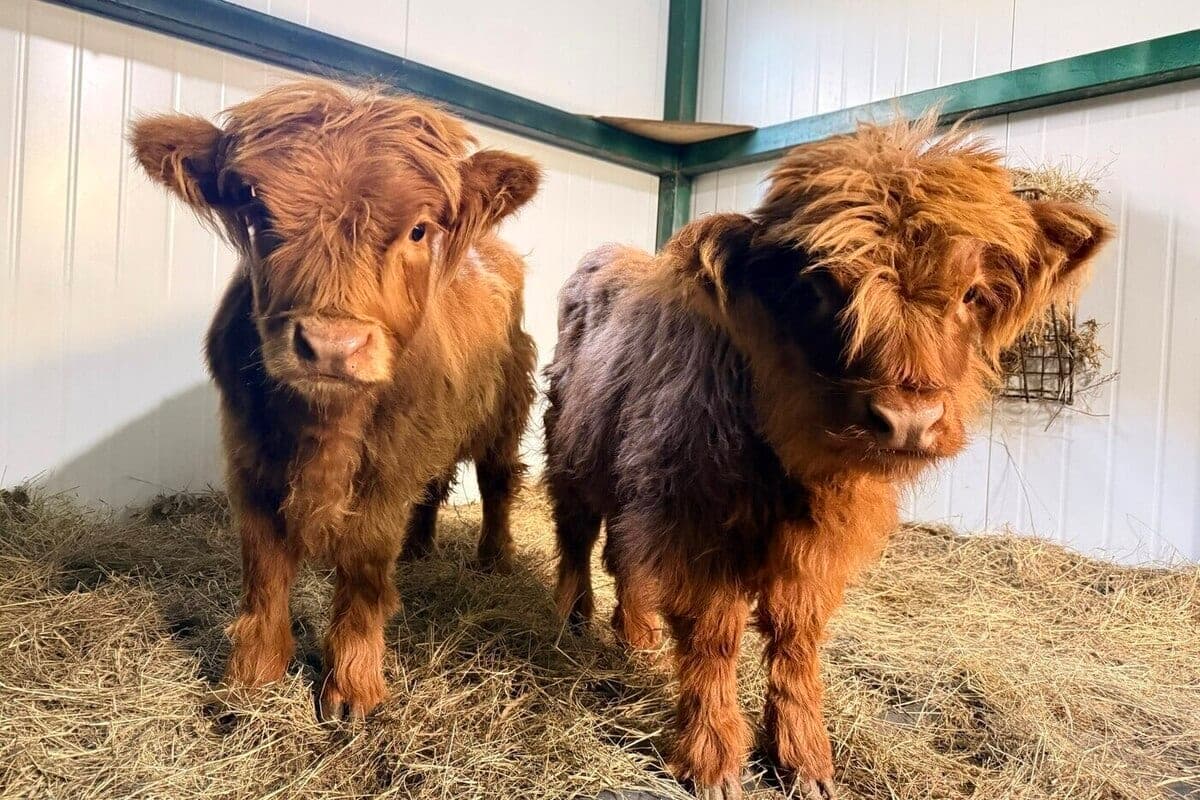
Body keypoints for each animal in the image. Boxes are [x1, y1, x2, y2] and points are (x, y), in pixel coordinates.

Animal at [131, 80, 540, 720]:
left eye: (419, 229)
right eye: (257, 211)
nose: (330, 346)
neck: (324, 429)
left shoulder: (389, 468)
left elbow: (365, 567)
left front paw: (352, 687)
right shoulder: (249, 458)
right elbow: (264, 569)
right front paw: (252, 675)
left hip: (504, 411)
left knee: (498, 480)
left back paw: (494, 557)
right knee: (437, 485)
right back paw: (419, 547)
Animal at [543, 115, 1111, 799]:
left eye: (972, 293)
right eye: (820, 287)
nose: (908, 421)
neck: (798, 465)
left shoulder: (817, 547)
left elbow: (796, 638)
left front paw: (803, 758)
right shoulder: (697, 522)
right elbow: (713, 635)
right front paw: (713, 759)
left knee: (624, 554)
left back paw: (637, 638)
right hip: (572, 451)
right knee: (577, 537)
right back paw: (569, 620)